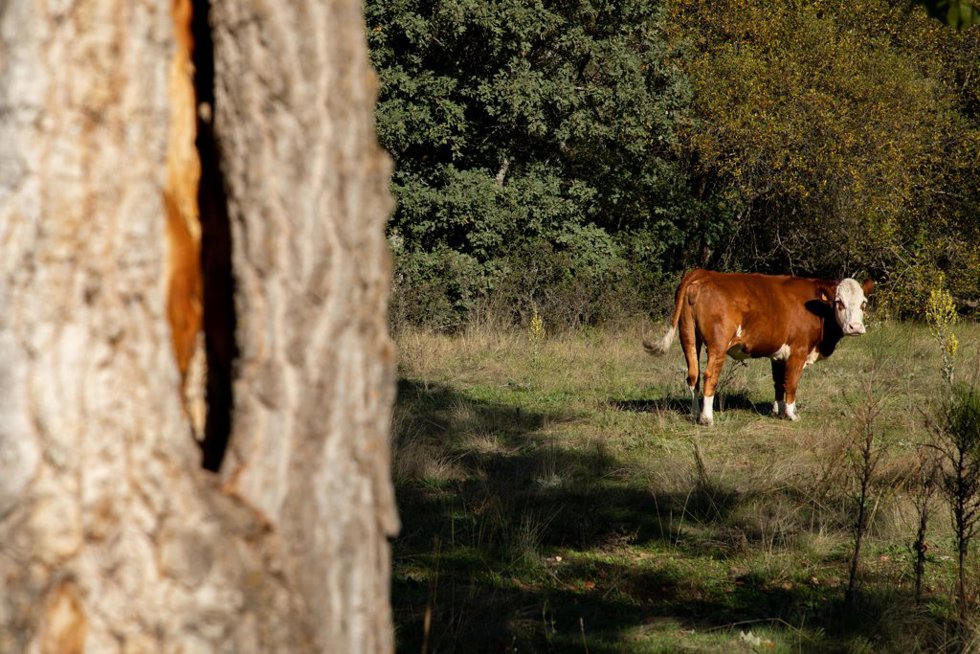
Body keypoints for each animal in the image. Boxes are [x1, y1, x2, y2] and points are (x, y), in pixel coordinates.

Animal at [644, 269, 874, 425]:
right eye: (839, 302)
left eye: (863, 303)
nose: (855, 327)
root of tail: (703, 273)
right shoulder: (798, 352)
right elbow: (791, 383)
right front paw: (791, 414)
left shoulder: (779, 355)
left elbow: (779, 384)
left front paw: (777, 410)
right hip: (717, 345)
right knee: (710, 375)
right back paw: (707, 418)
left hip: (689, 337)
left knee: (693, 375)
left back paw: (694, 414)